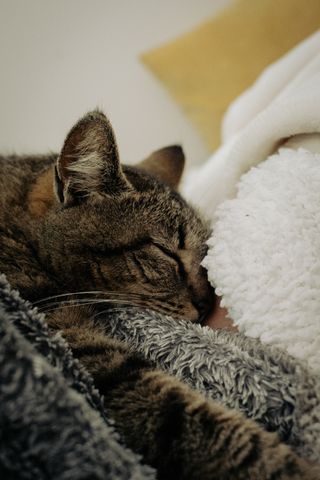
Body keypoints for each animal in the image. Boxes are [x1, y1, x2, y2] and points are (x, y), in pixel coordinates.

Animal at [1, 110, 318, 478]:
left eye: (206, 261)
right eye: (168, 254)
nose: (206, 304)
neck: (22, 235)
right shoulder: (81, 352)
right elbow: (204, 429)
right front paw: (290, 468)